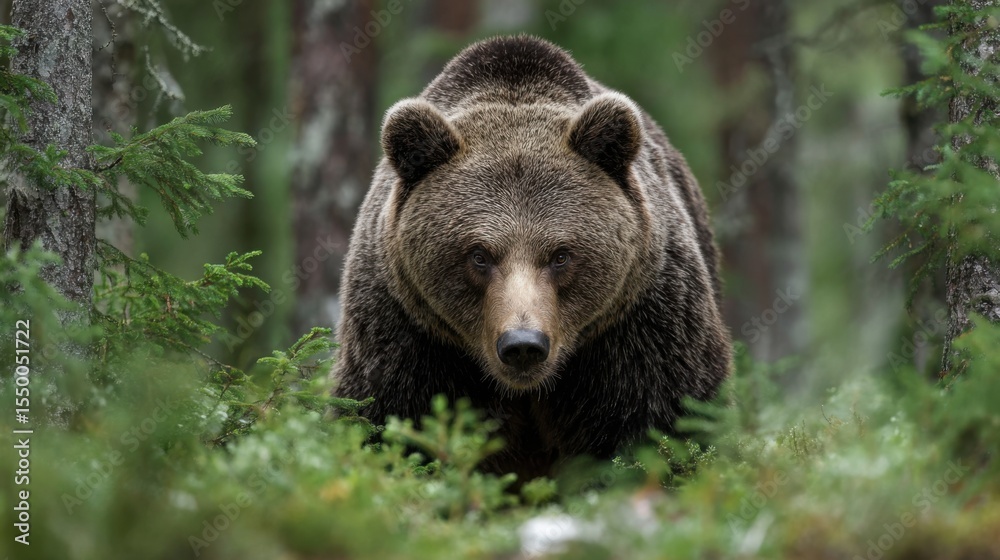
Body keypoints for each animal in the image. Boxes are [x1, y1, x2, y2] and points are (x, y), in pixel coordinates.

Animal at [333, 35, 731, 481]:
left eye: (560, 255)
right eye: (479, 255)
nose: (523, 344)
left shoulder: (640, 323)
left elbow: (666, 419)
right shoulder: (407, 328)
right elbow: (390, 418)